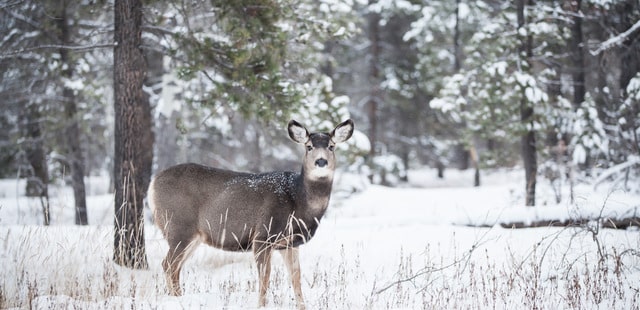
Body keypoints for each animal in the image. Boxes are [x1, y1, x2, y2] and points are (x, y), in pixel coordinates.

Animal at [146, 118, 356, 308]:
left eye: (331, 146)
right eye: (309, 146)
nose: (321, 161)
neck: (298, 201)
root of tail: (153, 183)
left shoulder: (289, 243)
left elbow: (296, 276)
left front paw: (302, 306)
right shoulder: (263, 235)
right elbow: (265, 277)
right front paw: (261, 305)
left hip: (193, 236)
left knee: (175, 267)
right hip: (179, 226)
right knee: (168, 264)